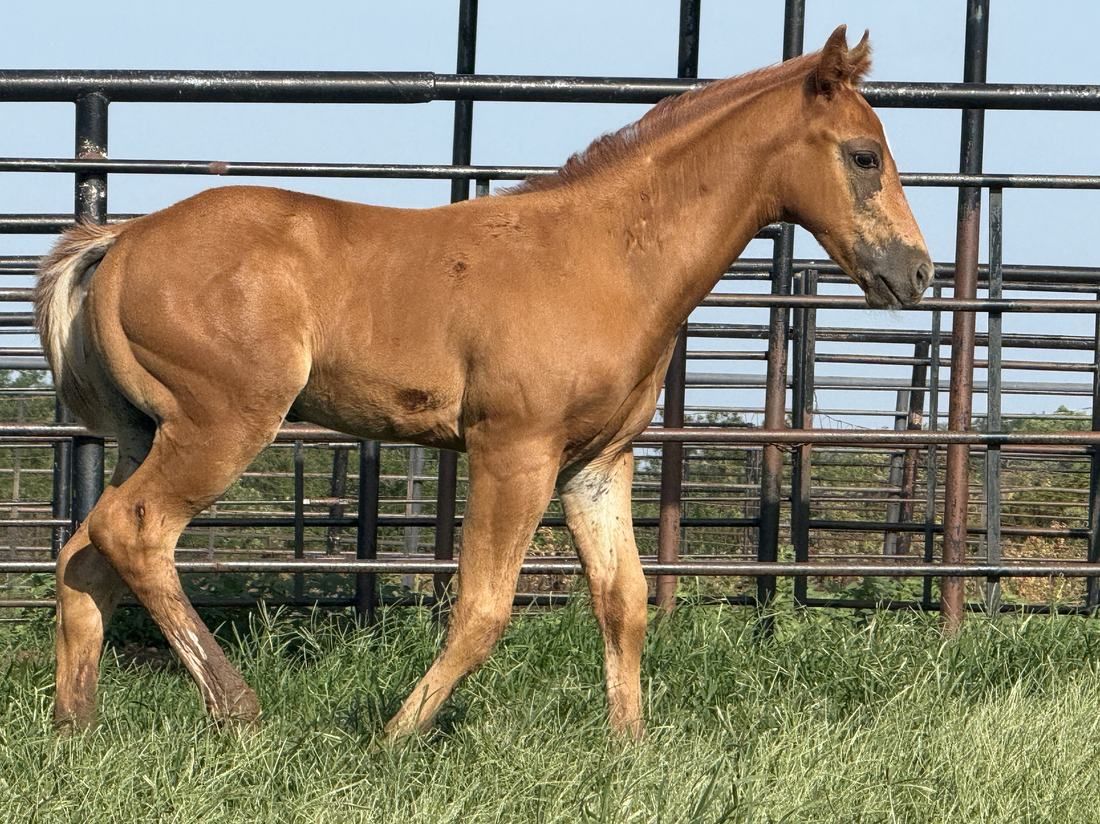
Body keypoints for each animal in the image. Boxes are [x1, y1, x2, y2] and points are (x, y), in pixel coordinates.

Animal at [35, 25, 932, 739]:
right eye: (864, 155)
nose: (916, 272)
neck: (607, 256)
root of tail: (118, 244)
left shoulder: (595, 464)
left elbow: (624, 600)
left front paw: (631, 748)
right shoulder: (514, 452)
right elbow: (483, 609)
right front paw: (393, 738)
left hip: (149, 432)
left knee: (85, 550)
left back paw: (77, 725)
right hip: (222, 423)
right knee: (136, 530)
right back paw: (236, 708)